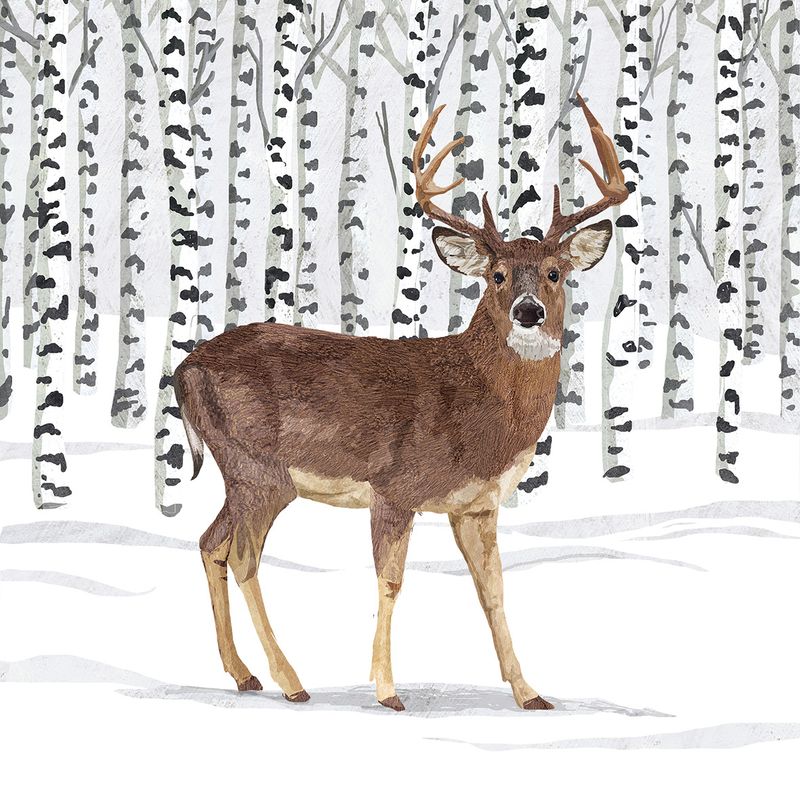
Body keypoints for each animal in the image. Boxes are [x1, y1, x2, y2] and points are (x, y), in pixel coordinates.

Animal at [174, 94, 628, 712]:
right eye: (497, 274)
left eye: (555, 273)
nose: (529, 311)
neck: (480, 410)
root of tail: (183, 369)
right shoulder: (394, 487)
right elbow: (390, 582)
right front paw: (388, 690)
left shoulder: (476, 504)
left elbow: (493, 590)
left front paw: (529, 692)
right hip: (259, 468)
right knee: (242, 555)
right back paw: (291, 681)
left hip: (240, 472)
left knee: (209, 543)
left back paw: (244, 674)